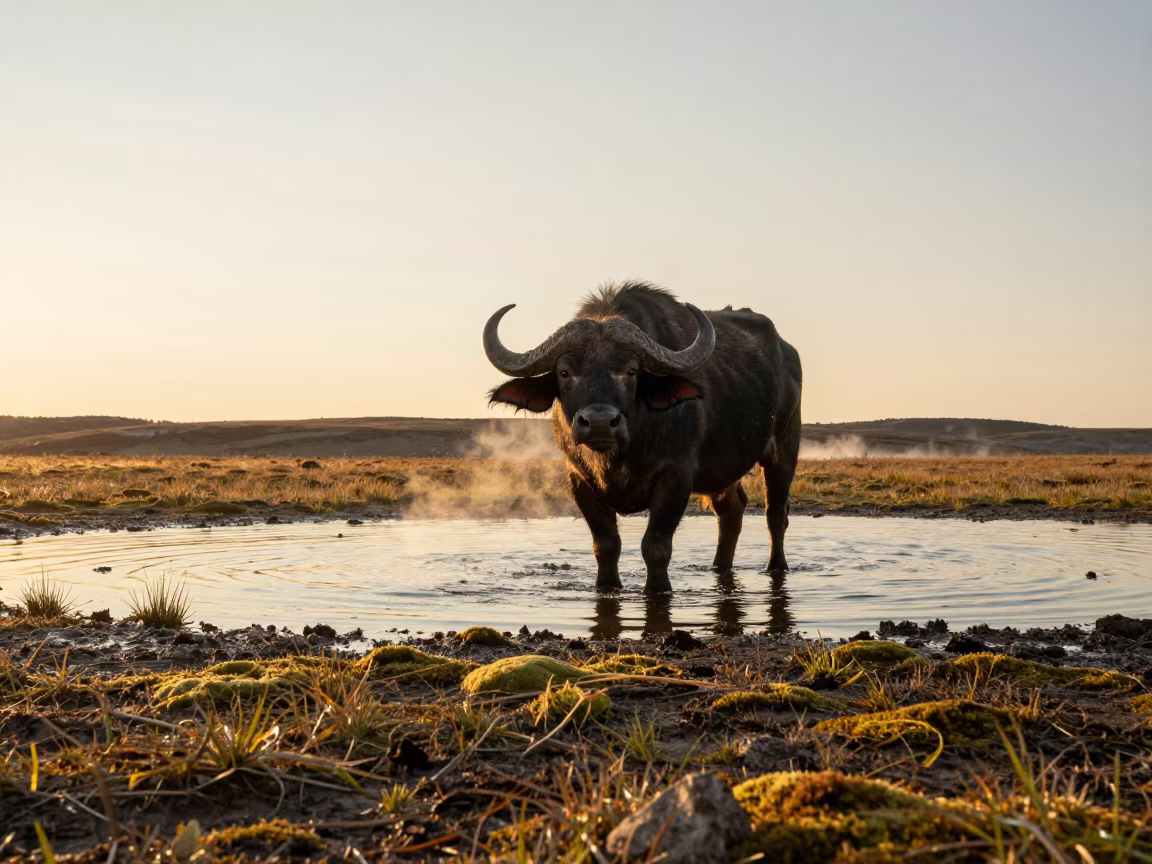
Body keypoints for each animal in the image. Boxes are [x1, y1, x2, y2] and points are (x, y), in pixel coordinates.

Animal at [483, 282, 802, 594]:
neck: (620, 455)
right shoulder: (579, 480)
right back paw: (719, 568)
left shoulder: (676, 476)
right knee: (731, 511)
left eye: (631, 370)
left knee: (776, 514)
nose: (599, 423)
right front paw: (607, 585)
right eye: (564, 372)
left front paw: (658, 590)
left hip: (784, 449)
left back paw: (776, 567)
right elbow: (606, 546)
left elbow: (656, 547)